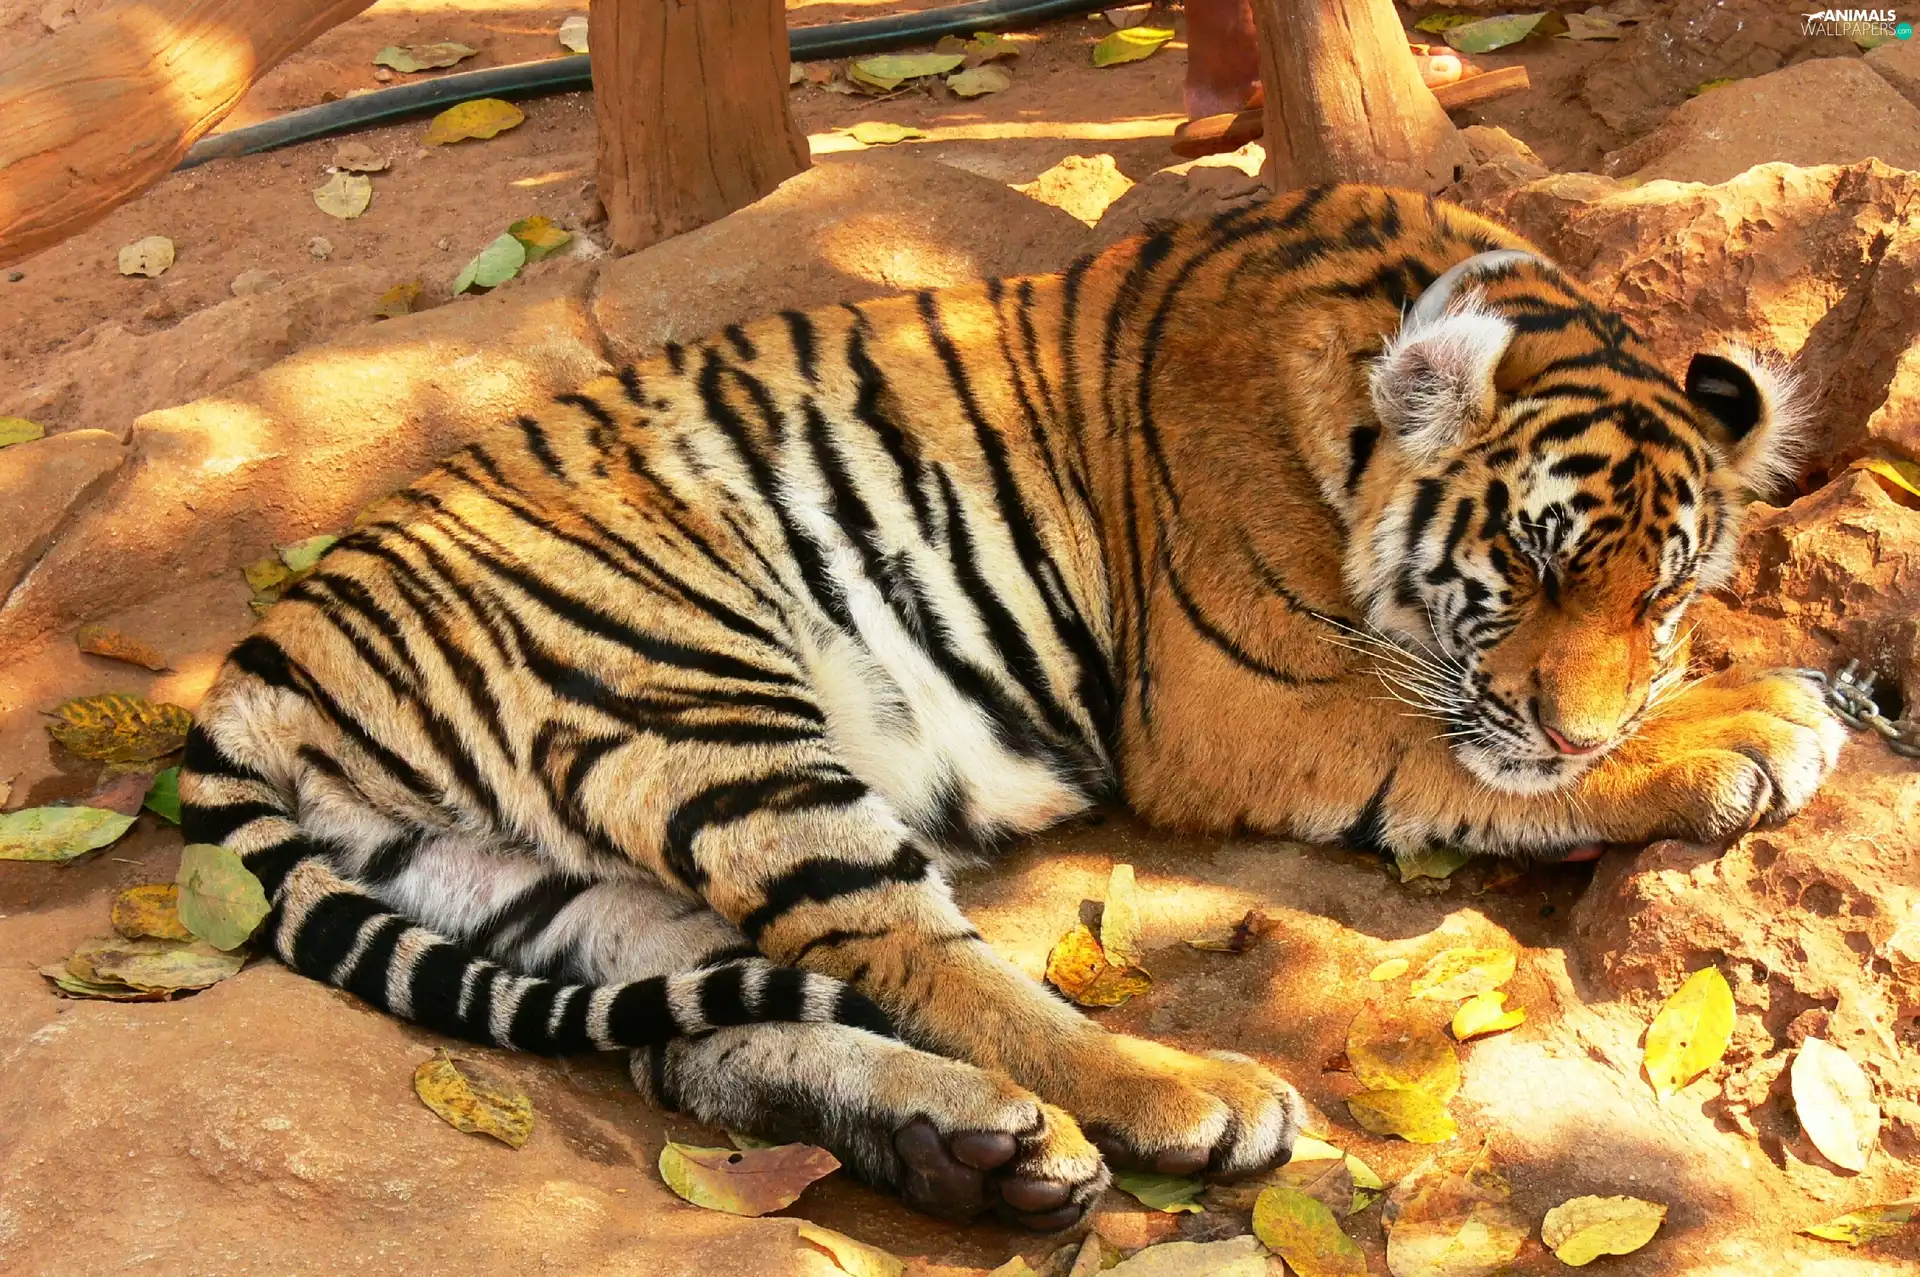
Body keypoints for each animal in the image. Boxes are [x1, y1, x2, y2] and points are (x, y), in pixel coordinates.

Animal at [178, 184, 1844, 1230]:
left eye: (1658, 592)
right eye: (1532, 561)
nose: (1582, 724)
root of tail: (262, 663)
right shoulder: (1250, 702)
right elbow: (1456, 753)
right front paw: (1757, 724)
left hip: (549, 885)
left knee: (713, 1036)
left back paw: (975, 1154)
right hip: (697, 696)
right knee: (921, 964)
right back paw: (1182, 1099)